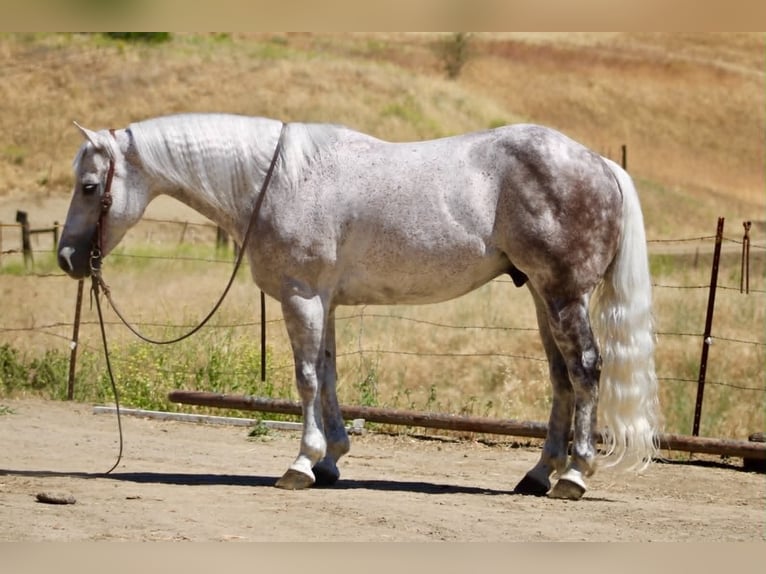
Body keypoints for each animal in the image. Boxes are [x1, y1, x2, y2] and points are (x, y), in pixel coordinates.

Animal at [57, 113, 660, 500]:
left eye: (89, 186)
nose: (67, 258)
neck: (279, 182)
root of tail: (600, 164)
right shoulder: (322, 300)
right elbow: (327, 375)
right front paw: (330, 460)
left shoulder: (301, 296)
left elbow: (304, 378)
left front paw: (300, 464)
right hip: (540, 294)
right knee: (561, 377)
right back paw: (538, 476)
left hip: (563, 294)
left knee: (586, 371)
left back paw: (574, 477)